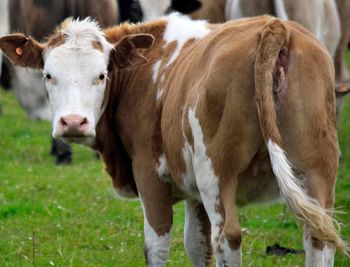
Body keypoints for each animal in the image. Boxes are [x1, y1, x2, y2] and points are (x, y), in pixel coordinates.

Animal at [0, 14, 346, 267]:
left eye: (101, 75)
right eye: (48, 75)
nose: (73, 123)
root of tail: (274, 27)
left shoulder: (149, 174)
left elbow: (156, 245)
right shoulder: (193, 193)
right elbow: (197, 245)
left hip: (217, 175)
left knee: (228, 237)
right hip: (317, 172)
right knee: (318, 238)